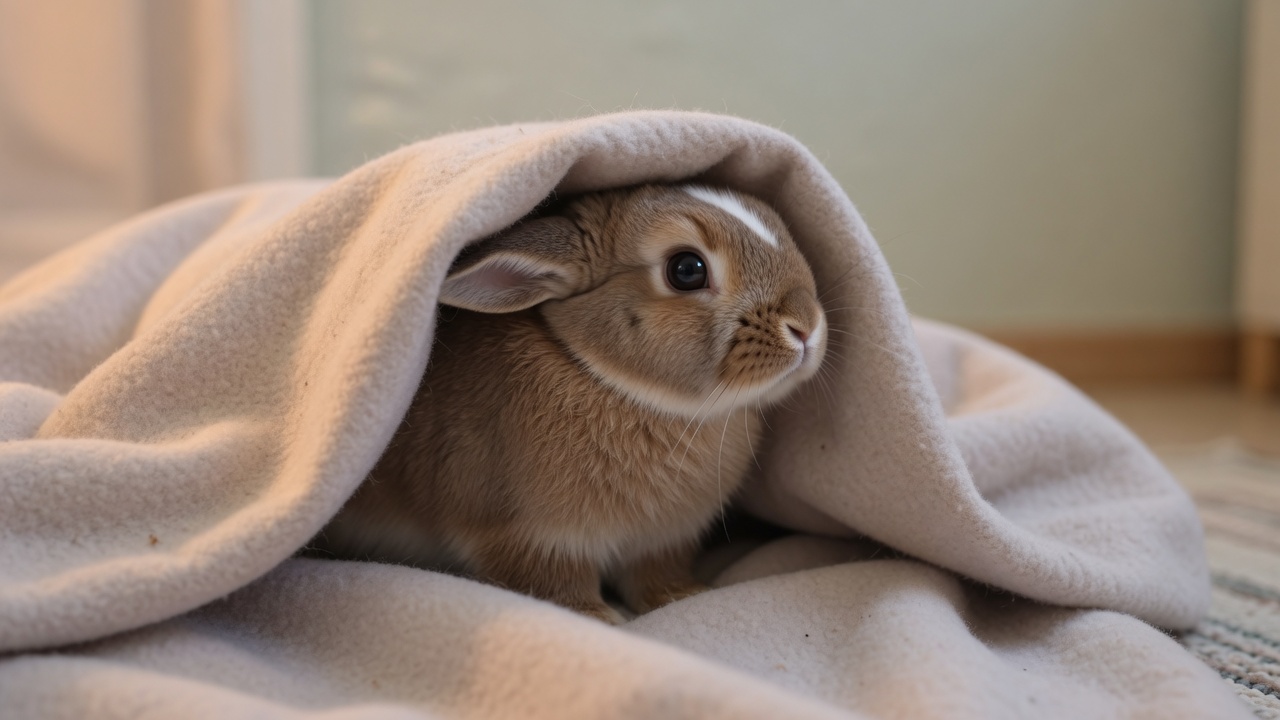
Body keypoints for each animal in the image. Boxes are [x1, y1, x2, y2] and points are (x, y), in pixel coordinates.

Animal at [317, 183, 828, 623]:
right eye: (687, 269)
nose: (806, 325)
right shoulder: (526, 534)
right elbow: (554, 581)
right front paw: (596, 616)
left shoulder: (661, 541)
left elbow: (653, 575)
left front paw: (683, 595)